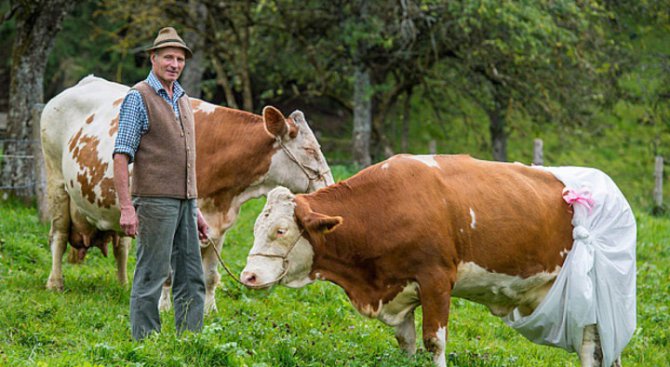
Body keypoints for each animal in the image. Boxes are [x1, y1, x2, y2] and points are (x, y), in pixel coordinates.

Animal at [40, 75, 334, 314]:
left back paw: (123, 285)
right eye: (309, 149)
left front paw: (209, 310)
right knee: (59, 236)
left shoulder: (219, 227)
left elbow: (210, 274)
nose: (328, 185)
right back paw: (55, 282)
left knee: (121, 246)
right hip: (56, 182)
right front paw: (165, 307)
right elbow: (169, 272)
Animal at [240, 155, 636, 367]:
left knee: (588, 345)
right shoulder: (397, 288)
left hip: (588, 293)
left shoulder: (436, 280)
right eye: (256, 226)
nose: (248, 276)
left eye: (280, 230)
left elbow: (434, 342)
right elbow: (407, 342)